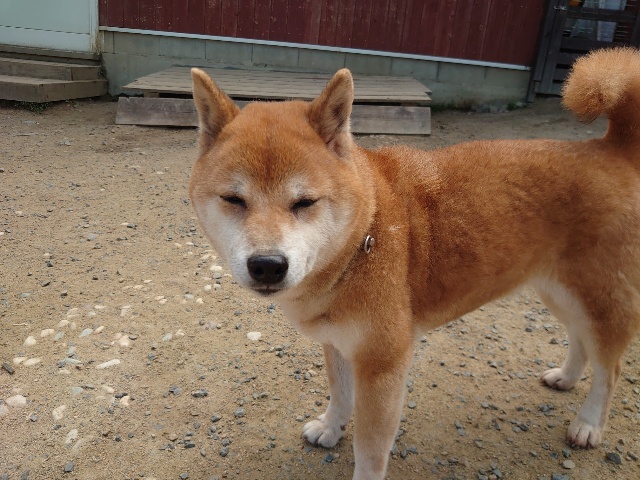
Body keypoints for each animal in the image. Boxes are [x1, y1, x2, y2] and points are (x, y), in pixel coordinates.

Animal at [188, 47, 640, 479]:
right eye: (234, 200)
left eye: (304, 202)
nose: (267, 265)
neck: (362, 238)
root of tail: (611, 148)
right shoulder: (338, 343)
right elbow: (340, 395)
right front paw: (331, 428)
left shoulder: (383, 363)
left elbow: (370, 450)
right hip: (558, 291)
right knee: (580, 338)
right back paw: (566, 378)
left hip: (599, 297)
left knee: (610, 367)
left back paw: (588, 424)